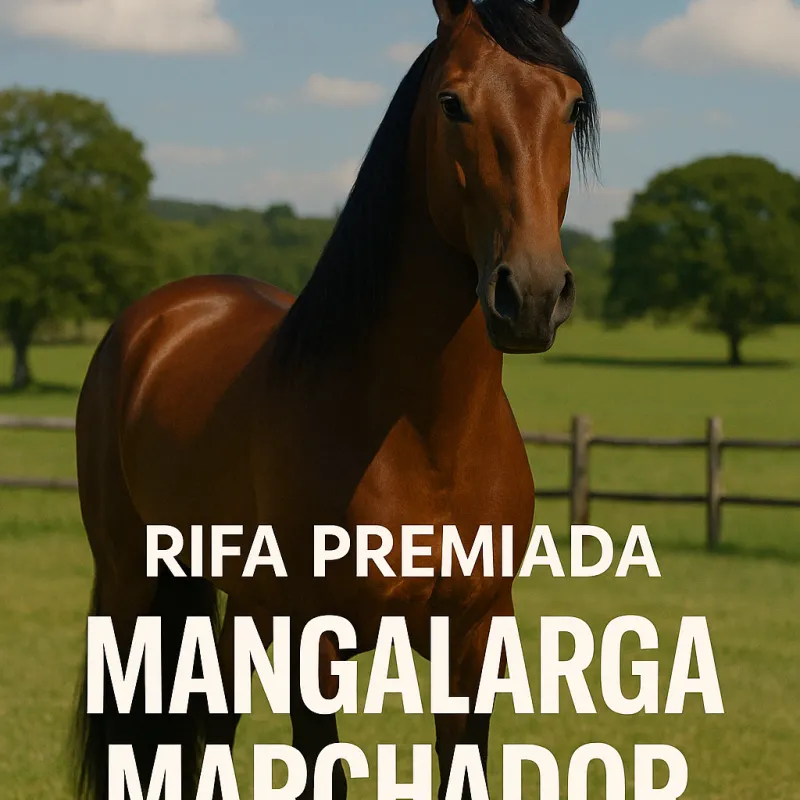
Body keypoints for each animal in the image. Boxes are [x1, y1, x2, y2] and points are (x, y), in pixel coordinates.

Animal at [71, 0, 598, 797]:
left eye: (569, 106)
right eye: (453, 103)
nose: (532, 295)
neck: (425, 441)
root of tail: (157, 316)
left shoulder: (475, 639)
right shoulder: (311, 644)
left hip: (240, 604)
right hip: (133, 580)